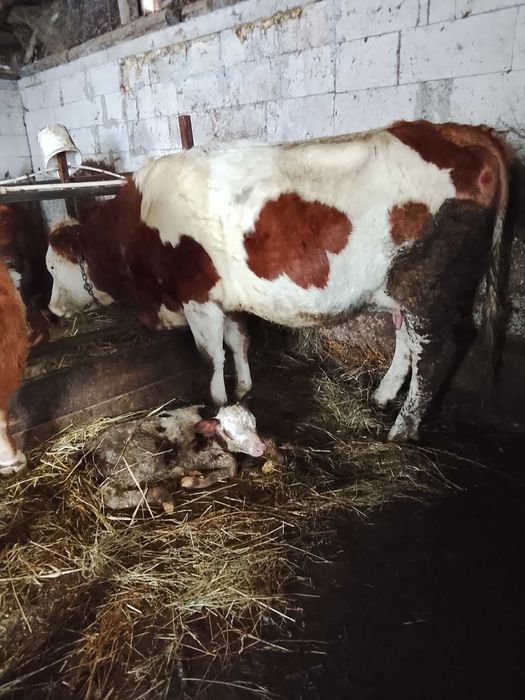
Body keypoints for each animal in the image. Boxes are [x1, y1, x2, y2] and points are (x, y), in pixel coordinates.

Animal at [46, 120, 508, 441]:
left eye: (50, 267)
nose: (49, 311)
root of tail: (454, 131)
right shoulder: (224, 298)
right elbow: (238, 340)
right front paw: (244, 387)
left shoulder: (196, 297)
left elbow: (210, 356)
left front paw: (215, 402)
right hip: (403, 291)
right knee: (409, 344)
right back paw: (382, 397)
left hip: (429, 285)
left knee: (434, 352)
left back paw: (402, 429)